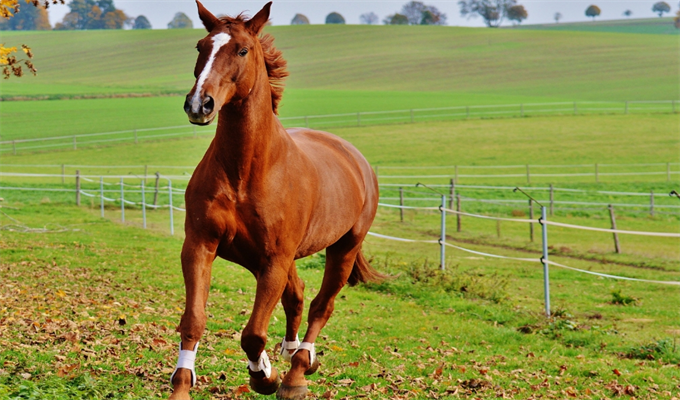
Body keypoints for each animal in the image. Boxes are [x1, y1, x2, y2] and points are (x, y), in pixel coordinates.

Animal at [168, 1, 386, 398]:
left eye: (242, 50)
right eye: (200, 46)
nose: (199, 104)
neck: (245, 171)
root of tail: (355, 158)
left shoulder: (274, 260)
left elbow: (253, 334)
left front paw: (264, 377)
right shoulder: (201, 246)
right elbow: (193, 320)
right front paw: (182, 386)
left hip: (342, 249)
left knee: (320, 306)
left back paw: (298, 370)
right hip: (268, 258)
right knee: (296, 295)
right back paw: (292, 352)